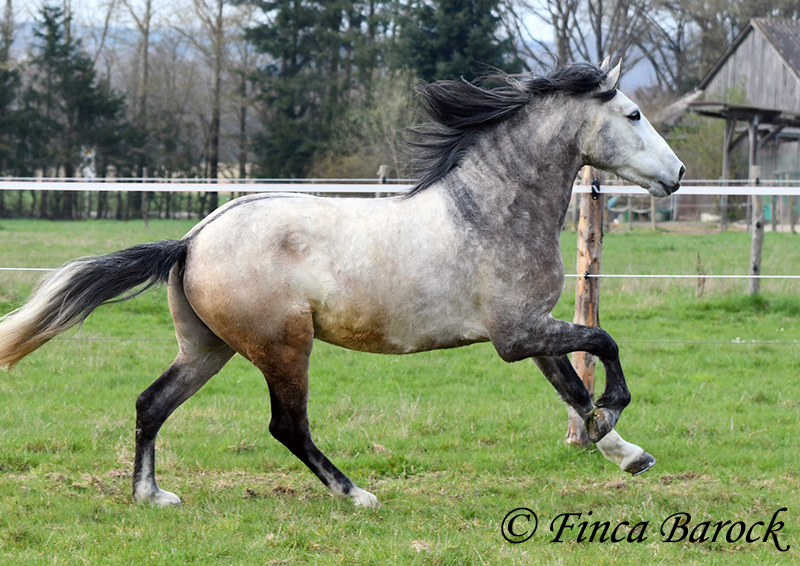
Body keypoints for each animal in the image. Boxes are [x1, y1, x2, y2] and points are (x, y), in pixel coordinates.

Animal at [0, 60, 684, 508]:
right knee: (287, 427)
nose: (677, 173)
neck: (489, 211)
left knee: (152, 402)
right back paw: (356, 494)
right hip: (283, 346)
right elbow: (603, 343)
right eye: (633, 113)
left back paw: (152, 495)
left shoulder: (533, 331)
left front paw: (625, 453)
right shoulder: (517, 335)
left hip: (207, 348)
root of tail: (192, 240)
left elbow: (572, 387)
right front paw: (614, 409)